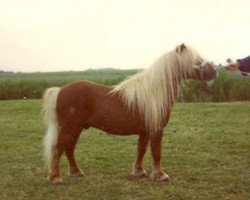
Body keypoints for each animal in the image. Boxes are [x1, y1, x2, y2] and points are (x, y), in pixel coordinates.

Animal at [42, 43, 217, 184]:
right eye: (197, 61)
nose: (215, 72)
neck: (153, 93)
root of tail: (61, 90)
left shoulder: (145, 131)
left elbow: (141, 150)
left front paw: (139, 172)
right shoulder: (156, 129)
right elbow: (156, 152)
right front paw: (161, 176)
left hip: (75, 129)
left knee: (69, 149)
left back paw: (76, 173)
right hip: (70, 128)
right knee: (58, 149)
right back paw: (56, 178)